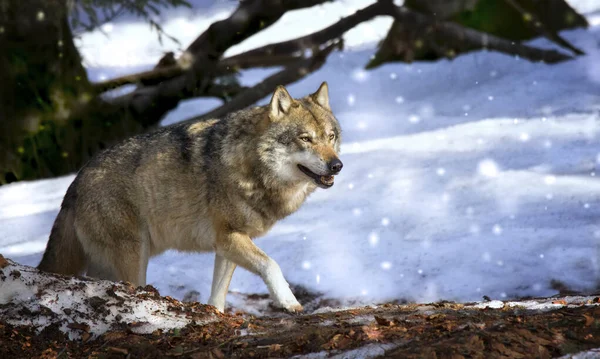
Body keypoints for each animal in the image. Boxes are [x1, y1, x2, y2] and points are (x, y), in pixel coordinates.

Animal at [38, 83, 342, 314]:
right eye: (305, 139)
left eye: (330, 137)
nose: (337, 165)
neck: (250, 165)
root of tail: (76, 181)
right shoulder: (229, 237)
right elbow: (272, 265)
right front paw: (289, 302)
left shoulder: (227, 244)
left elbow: (218, 294)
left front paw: (216, 317)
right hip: (135, 258)